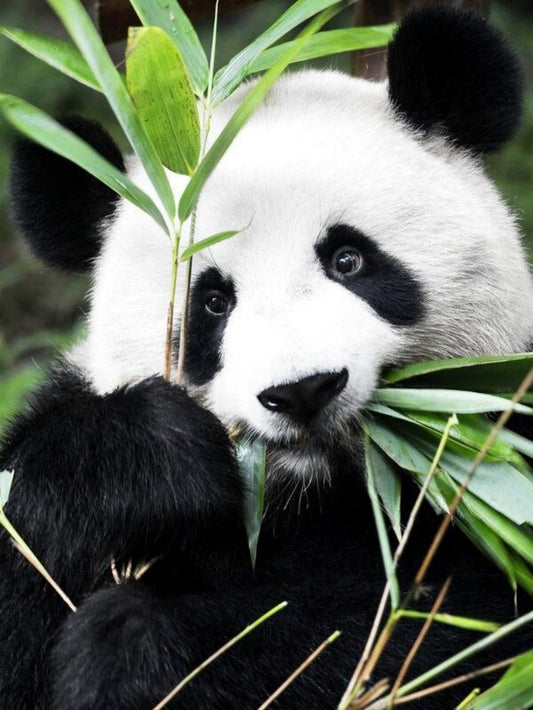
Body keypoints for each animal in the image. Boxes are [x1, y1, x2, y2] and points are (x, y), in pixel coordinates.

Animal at [1, 6, 532, 710]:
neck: (306, 496)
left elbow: (415, 629)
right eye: (212, 303)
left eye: (348, 259)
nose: (303, 390)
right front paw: (149, 458)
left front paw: (133, 651)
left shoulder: (497, 463)